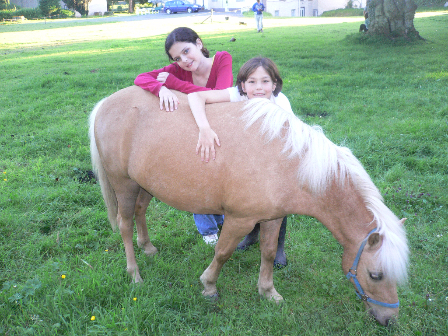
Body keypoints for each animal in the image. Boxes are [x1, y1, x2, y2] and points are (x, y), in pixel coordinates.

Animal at [90, 86, 410, 326]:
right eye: (375, 275)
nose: (389, 319)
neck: (287, 161)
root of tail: (105, 104)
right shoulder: (240, 219)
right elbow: (222, 253)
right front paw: (209, 286)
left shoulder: (272, 217)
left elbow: (267, 252)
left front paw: (268, 292)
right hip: (123, 184)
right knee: (125, 225)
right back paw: (134, 274)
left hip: (143, 185)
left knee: (140, 213)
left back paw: (148, 248)